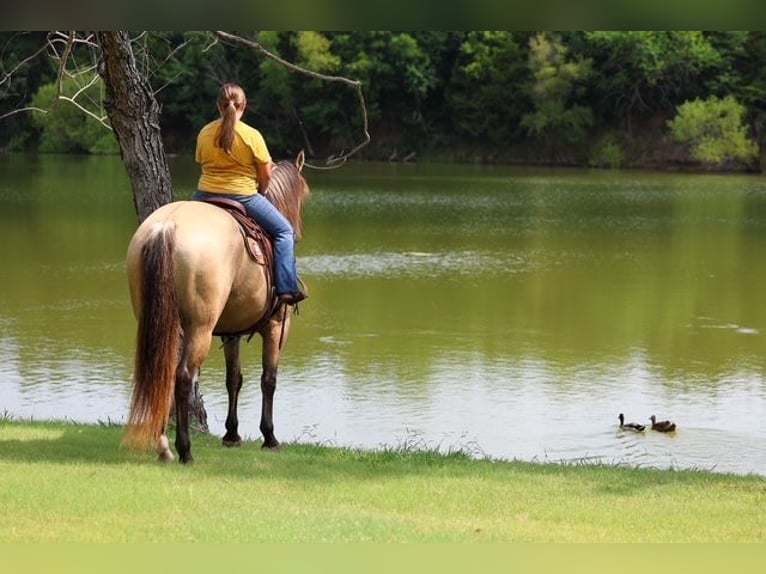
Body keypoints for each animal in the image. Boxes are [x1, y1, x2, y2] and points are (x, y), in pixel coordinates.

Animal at [123, 152, 310, 463]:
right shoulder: (277, 327)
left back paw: (164, 447)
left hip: (158, 322)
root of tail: (166, 227)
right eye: (304, 195)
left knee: (161, 374)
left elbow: (233, 379)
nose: (297, 232)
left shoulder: (231, 331)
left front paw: (231, 434)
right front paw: (269, 437)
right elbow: (268, 379)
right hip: (199, 328)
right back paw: (185, 450)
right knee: (183, 377)